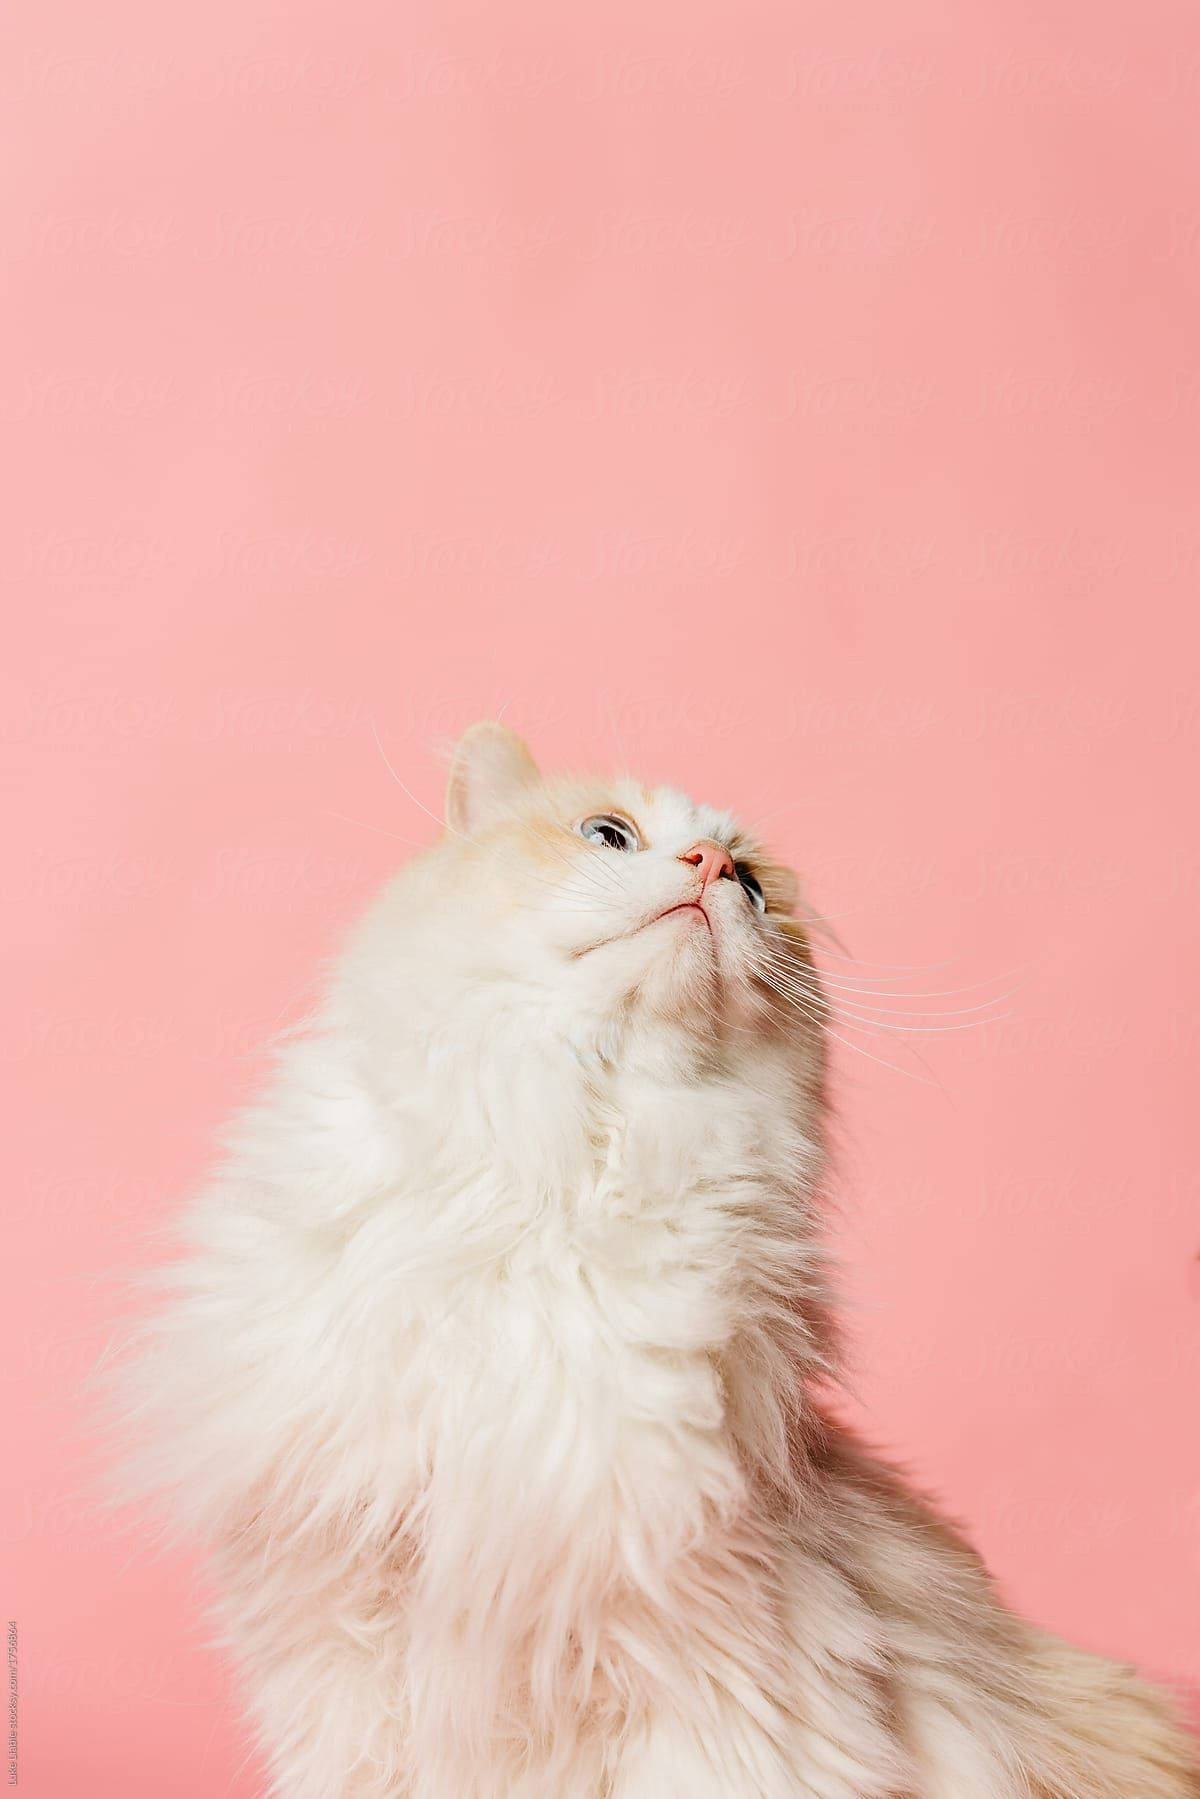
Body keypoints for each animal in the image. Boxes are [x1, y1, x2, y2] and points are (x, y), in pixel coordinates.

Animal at [115, 723, 1200, 1791]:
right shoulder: (346, 1624)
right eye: (608, 834)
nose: (711, 864)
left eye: (752, 883)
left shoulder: (716, 1673)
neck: (568, 1168)